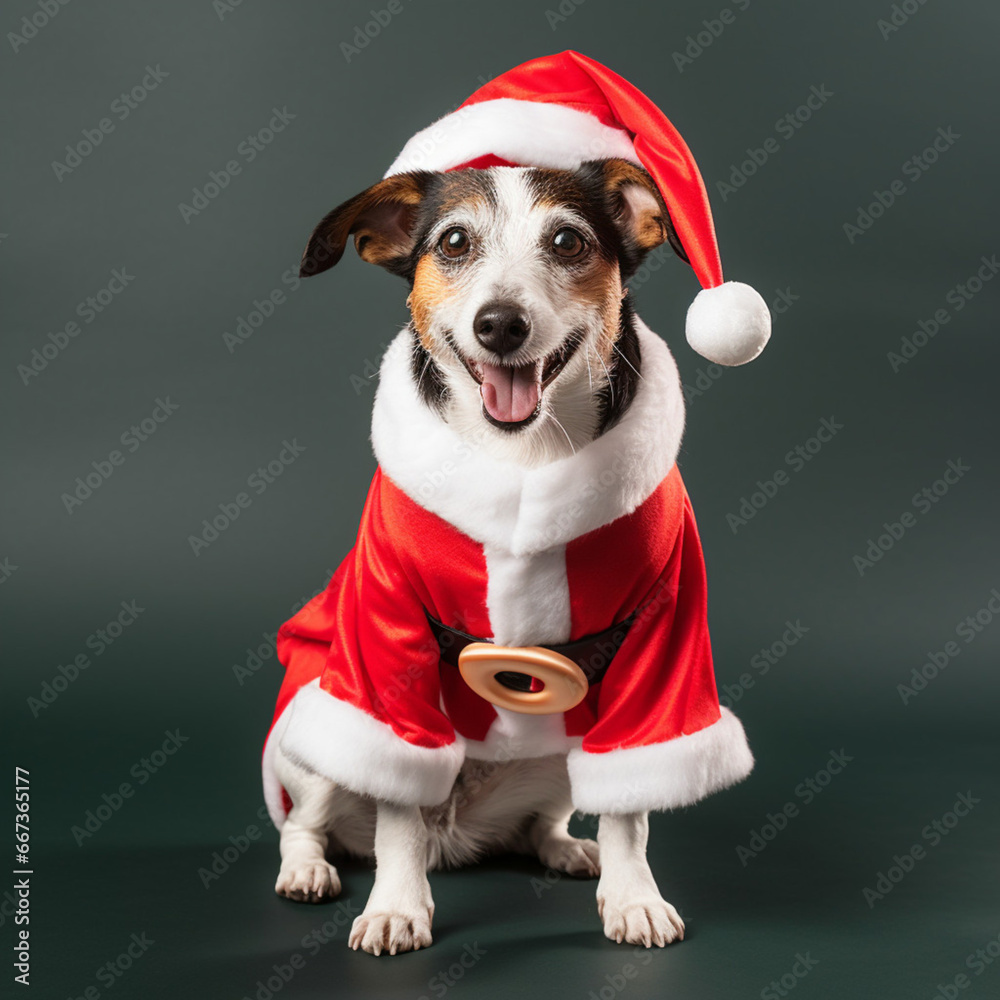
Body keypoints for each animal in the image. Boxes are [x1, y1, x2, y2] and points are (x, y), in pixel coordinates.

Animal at [262, 160, 752, 956]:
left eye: (568, 241)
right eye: (455, 241)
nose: (500, 324)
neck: (523, 460)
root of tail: (455, 837)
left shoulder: (662, 634)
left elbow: (632, 807)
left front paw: (634, 898)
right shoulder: (387, 638)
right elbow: (397, 808)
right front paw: (397, 907)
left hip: (563, 751)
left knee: (543, 822)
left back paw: (571, 849)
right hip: (310, 741)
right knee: (308, 822)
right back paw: (309, 869)